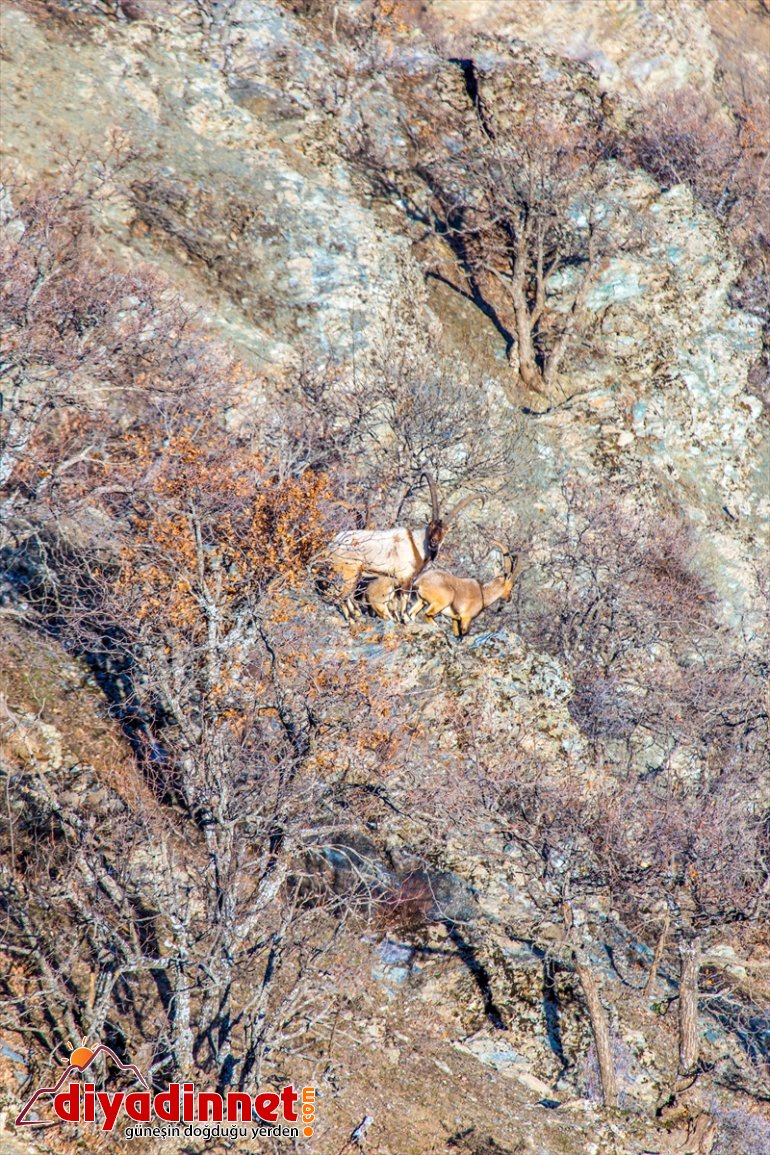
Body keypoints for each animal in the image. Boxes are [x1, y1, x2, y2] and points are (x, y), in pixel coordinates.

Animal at [320, 471, 477, 623]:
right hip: (349, 572)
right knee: (341, 594)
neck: (416, 545)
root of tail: (333, 543)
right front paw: (405, 619)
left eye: (445, 531)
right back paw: (352, 618)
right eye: (431, 524)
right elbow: (404, 599)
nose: (434, 542)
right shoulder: (405, 579)